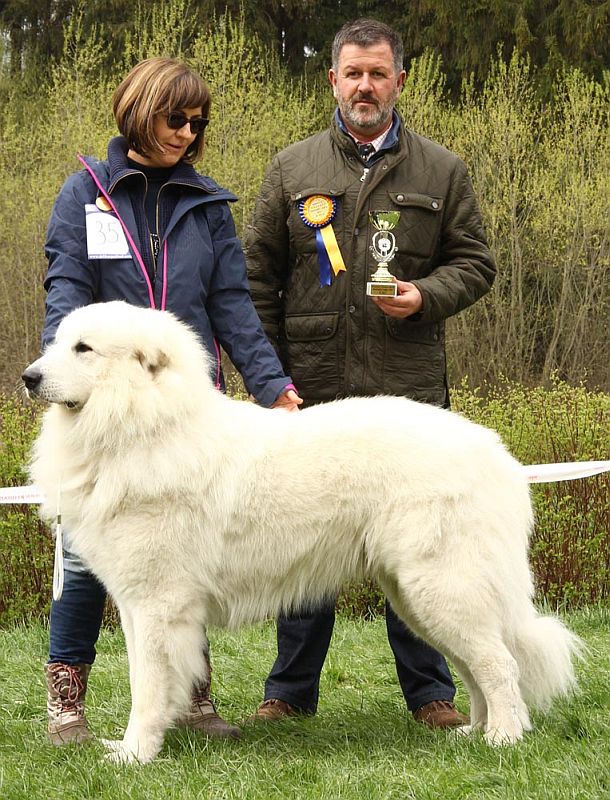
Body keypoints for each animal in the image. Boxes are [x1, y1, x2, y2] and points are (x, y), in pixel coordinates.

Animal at [23, 300, 580, 764]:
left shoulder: (159, 604)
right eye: (58, 342)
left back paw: (504, 739)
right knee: (476, 667)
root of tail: (501, 457)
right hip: (418, 598)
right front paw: (133, 748)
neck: (145, 425)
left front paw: (136, 756)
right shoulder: (138, 606)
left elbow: (147, 687)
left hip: (442, 588)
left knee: (499, 665)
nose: (29, 378)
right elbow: (146, 680)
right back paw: (474, 732)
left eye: (83, 349)